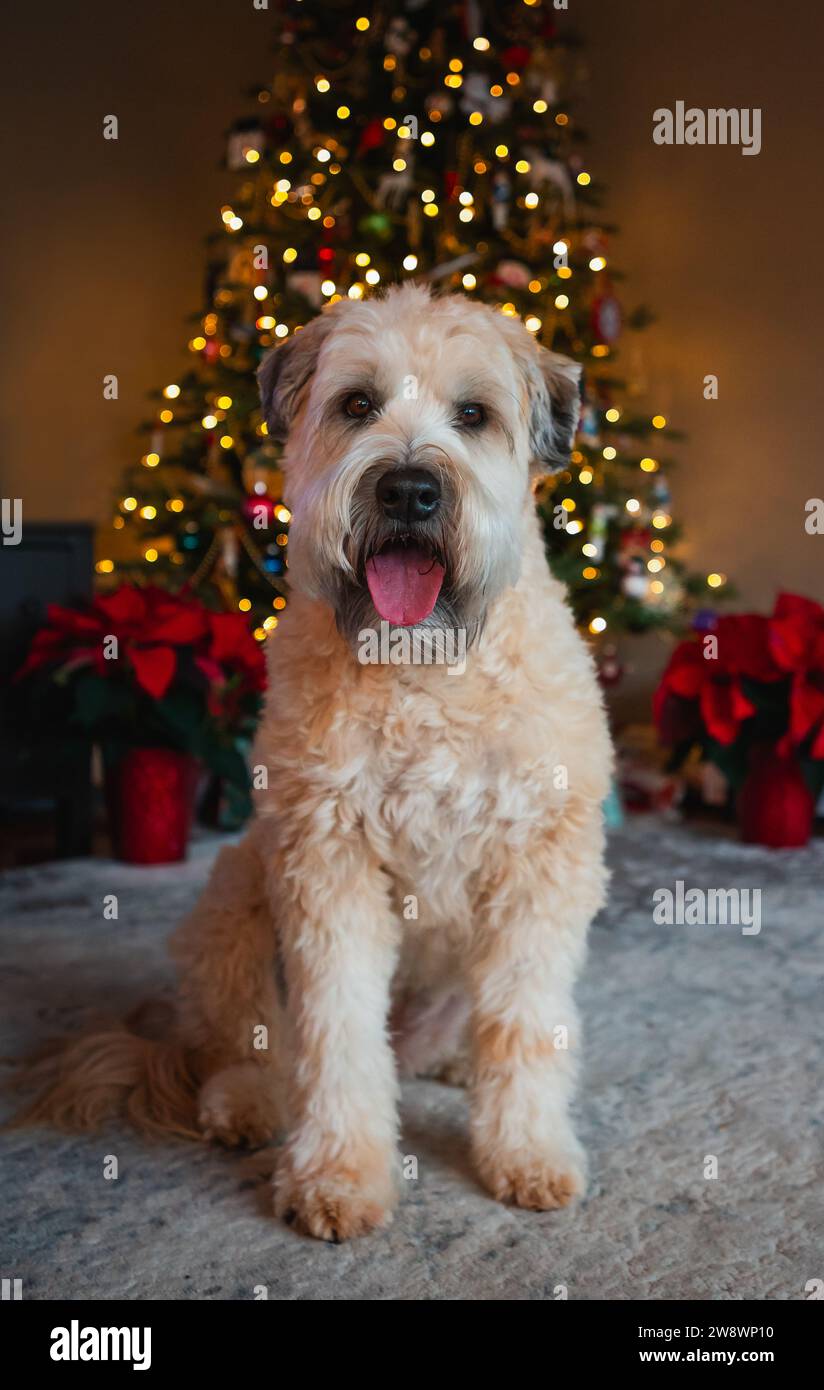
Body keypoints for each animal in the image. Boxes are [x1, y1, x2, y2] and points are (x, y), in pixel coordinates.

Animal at [14, 287, 611, 1245]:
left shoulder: (540, 867)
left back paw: (454, 1066)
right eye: (358, 404)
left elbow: (523, 1023)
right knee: (248, 1039)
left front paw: (525, 1153)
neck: (421, 665)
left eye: (473, 415)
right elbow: (334, 1035)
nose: (408, 488)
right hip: (234, 893)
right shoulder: (326, 861)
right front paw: (339, 1174)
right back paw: (248, 1102)